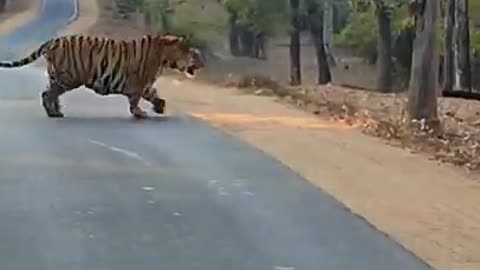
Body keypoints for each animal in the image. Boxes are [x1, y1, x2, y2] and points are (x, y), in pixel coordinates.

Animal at [0, 33, 204, 118]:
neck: (166, 57)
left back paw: (56, 110)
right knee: (48, 94)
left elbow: (153, 94)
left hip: (57, 77)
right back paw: (54, 113)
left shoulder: (146, 83)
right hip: (68, 78)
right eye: (195, 55)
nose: (203, 64)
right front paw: (140, 113)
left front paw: (160, 107)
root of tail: (52, 41)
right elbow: (136, 99)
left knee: (48, 93)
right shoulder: (139, 81)